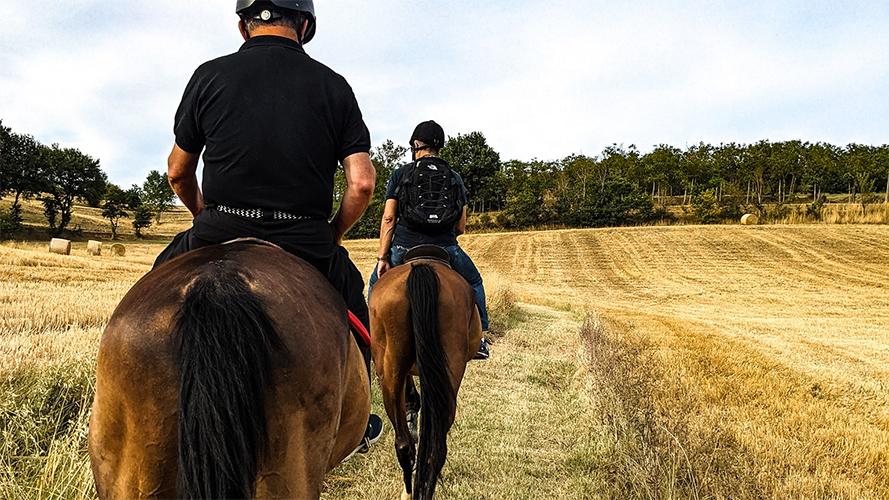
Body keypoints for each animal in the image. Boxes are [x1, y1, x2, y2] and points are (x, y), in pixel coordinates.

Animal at [368, 247, 482, 500]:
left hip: (389, 368)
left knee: (404, 444)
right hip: (449, 371)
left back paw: (409, 490)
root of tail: (421, 268)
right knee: (435, 448)